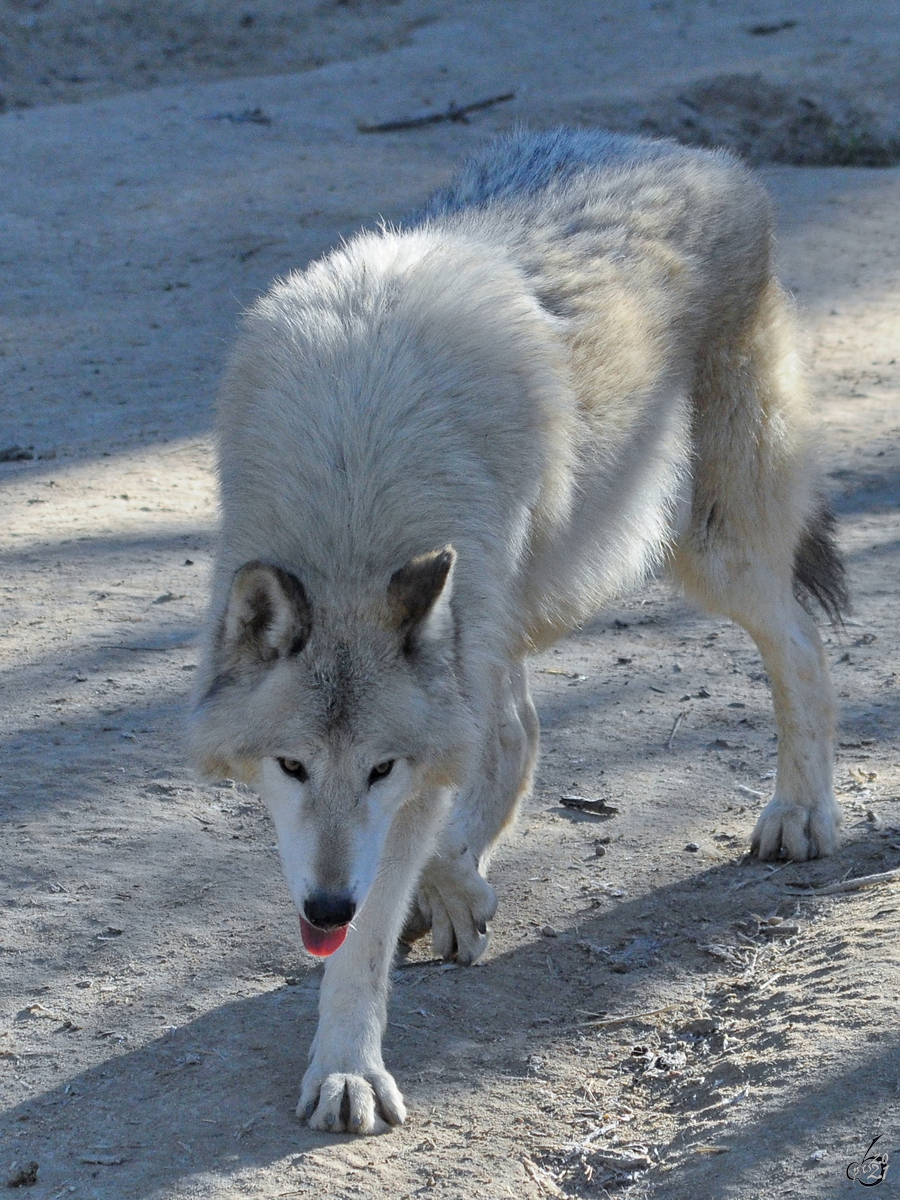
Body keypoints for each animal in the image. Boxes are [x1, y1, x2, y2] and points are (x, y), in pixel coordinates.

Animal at [187, 129, 849, 1132]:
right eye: (292, 766)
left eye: (377, 768)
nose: (328, 904)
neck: (351, 497)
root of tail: (698, 153)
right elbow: (458, 795)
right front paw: (434, 901)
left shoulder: (436, 710)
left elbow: (373, 933)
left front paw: (347, 1069)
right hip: (515, 606)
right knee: (520, 733)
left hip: (707, 548)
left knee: (801, 647)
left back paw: (800, 816)